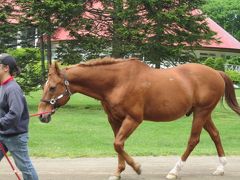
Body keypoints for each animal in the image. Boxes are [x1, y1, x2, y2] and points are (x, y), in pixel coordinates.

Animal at [38, 58, 240, 180]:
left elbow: (118, 144)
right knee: (215, 134)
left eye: (53, 87)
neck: (117, 82)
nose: (42, 115)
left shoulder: (133, 119)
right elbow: (117, 144)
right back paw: (221, 168)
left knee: (194, 140)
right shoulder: (114, 119)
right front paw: (118, 172)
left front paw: (137, 167)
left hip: (201, 113)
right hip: (204, 114)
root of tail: (216, 72)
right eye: (45, 85)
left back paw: (174, 171)